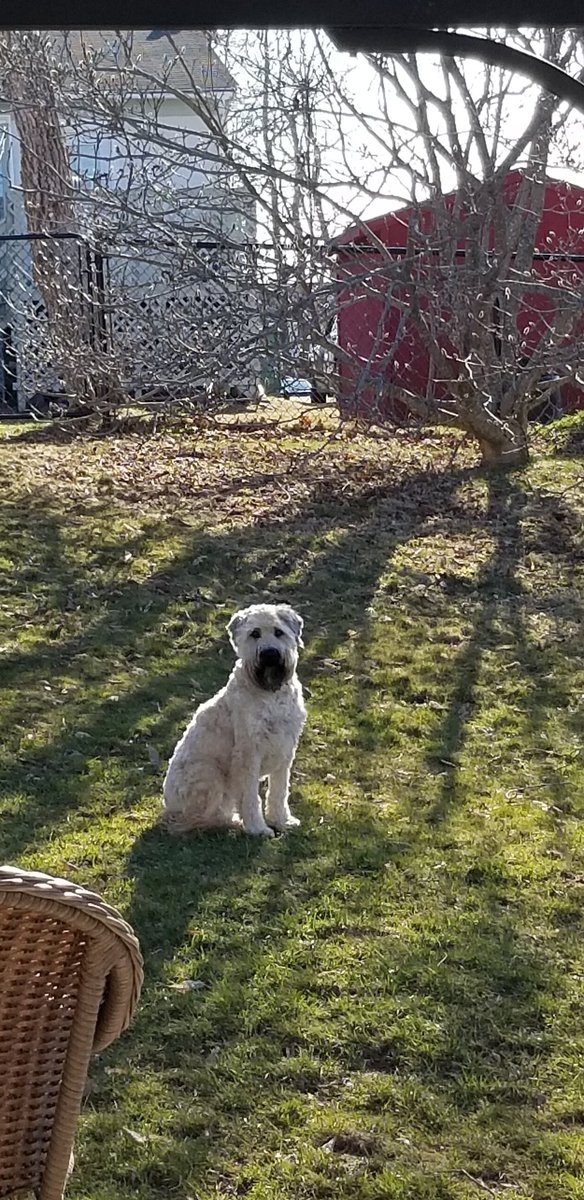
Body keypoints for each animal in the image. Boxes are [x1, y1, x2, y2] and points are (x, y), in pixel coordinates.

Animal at [159, 600, 305, 835]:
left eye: (278, 632)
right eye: (255, 633)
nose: (270, 655)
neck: (269, 694)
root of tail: (167, 806)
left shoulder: (285, 748)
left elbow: (279, 791)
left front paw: (282, 820)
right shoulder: (248, 754)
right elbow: (250, 796)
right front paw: (258, 828)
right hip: (208, 774)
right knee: (198, 819)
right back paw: (233, 822)